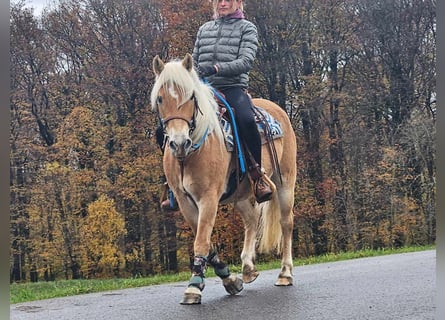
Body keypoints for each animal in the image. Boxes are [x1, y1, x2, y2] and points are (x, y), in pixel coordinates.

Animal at [151, 53, 296, 304]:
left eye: (191, 96)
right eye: (160, 98)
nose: (179, 143)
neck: (193, 151)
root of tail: (279, 111)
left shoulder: (208, 198)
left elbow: (201, 240)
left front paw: (193, 286)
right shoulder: (185, 201)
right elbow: (206, 241)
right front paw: (230, 279)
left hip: (285, 182)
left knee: (286, 223)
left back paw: (285, 273)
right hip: (241, 193)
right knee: (251, 220)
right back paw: (248, 268)